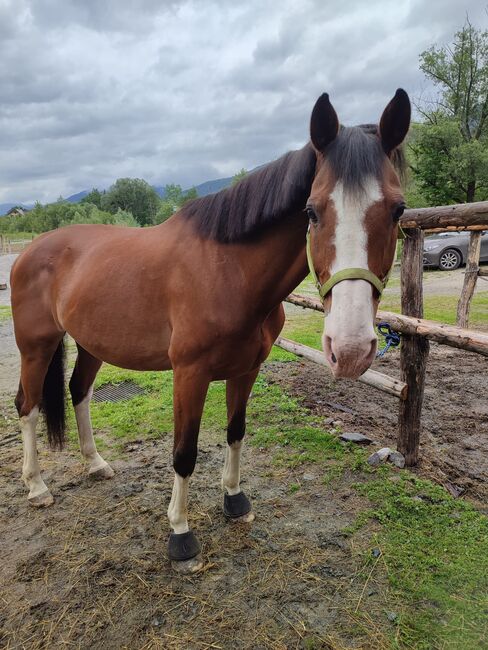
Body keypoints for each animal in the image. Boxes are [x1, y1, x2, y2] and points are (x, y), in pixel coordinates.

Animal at [9, 88, 410, 568]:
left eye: (398, 209)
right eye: (312, 212)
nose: (349, 348)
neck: (228, 270)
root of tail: (30, 250)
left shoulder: (247, 370)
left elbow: (235, 432)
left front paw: (234, 500)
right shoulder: (190, 375)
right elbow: (184, 453)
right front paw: (180, 535)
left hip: (91, 344)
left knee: (79, 392)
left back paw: (95, 464)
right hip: (36, 345)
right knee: (28, 406)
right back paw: (36, 486)